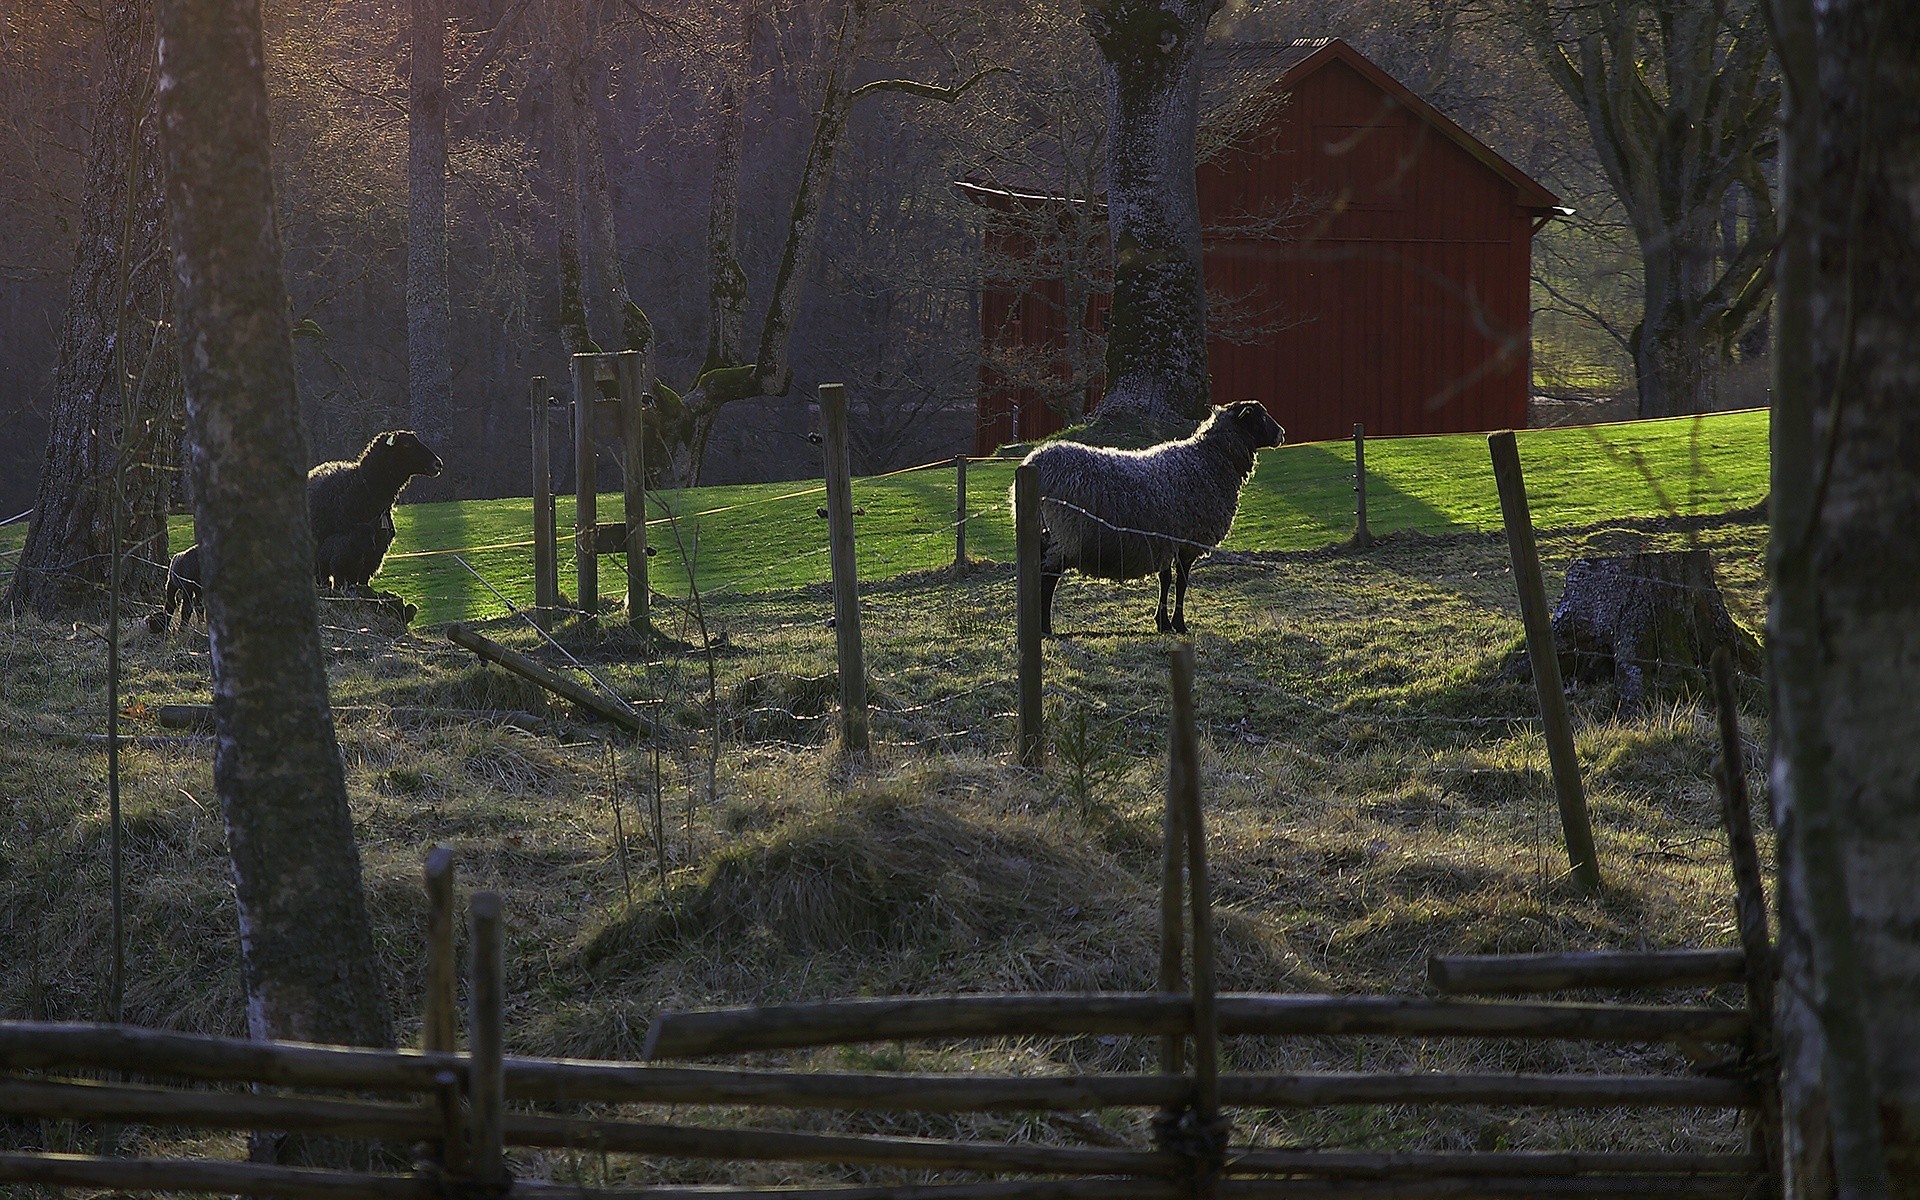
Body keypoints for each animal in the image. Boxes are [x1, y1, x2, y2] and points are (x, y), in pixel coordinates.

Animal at [1013, 397, 1282, 633]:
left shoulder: (1165, 540)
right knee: (1047, 580)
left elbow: (1166, 580)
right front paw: (1178, 624)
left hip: (1044, 536)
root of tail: (1034, 462)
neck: (1209, 460)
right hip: (1065, 534)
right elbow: (1180, 582)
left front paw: (1163, 623)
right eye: (1261, 416)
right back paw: (1046, 629)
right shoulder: (1185, 541)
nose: (1282, 433)